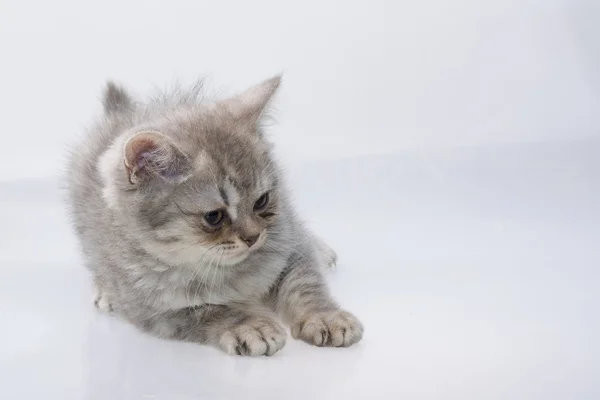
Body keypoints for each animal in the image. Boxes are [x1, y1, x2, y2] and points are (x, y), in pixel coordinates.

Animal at [68, 76, 364, 356]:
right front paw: (250, 326)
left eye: (261, 201)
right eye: (214, 217)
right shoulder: (156, 310)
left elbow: (305, 285)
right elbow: (215, 311)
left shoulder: (291, 244)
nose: (253, 237)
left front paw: (325, 317)